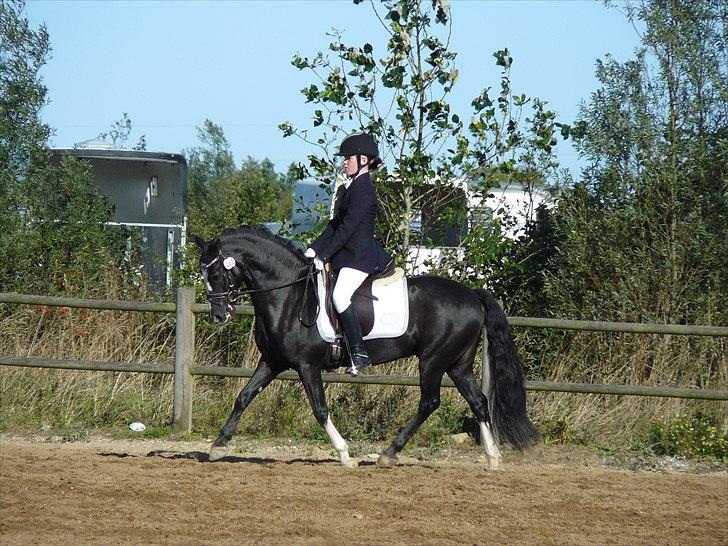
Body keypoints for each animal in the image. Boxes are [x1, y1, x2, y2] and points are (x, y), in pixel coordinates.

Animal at [196, 225, 536, 468]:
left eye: (217, 271)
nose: (217, 315)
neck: (289, 297)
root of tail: (472, 294)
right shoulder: (272, 362)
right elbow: (243, 397)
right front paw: (218, 446)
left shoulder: (307, 365)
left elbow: (319, 408)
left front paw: (344, 454)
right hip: (458, 364)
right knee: (478, 400)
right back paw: (492, 458)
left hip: (433, 361)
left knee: (429, 402)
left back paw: (389, 453)